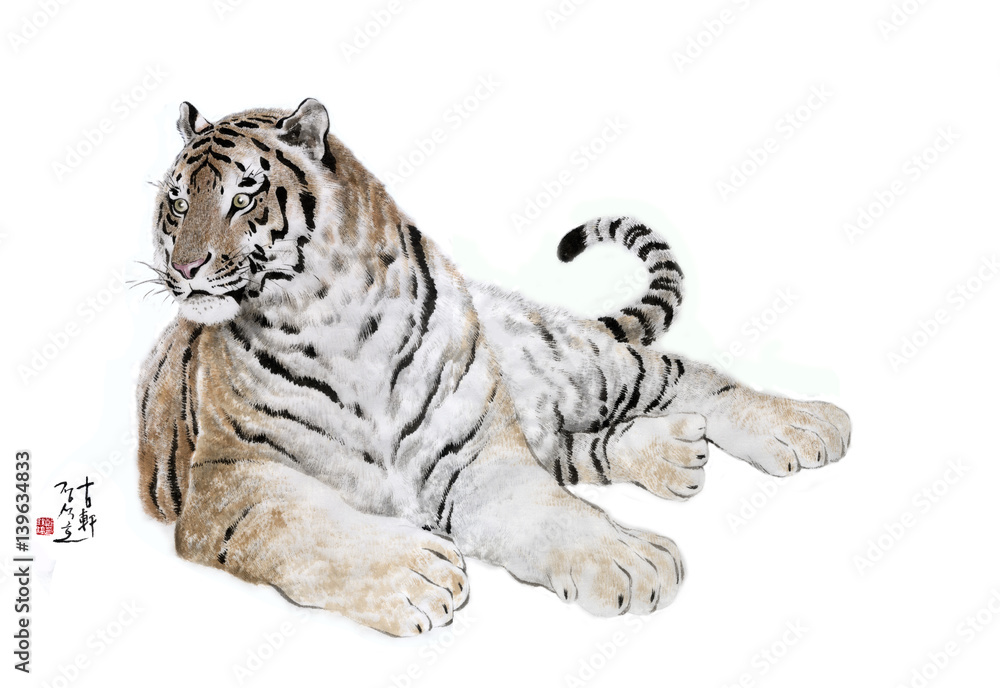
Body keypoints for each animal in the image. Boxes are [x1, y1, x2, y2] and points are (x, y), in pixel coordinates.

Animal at [137, 98, 851, 636]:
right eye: (177, 204)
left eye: (243, 198)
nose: (185, 267)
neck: (332, 322)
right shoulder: (229, 482)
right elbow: (302, 527)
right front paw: (418, 579)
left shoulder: (476, 455)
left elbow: (552, 513)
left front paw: (628, 560)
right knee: (579, 449)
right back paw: (676, 454)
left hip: (582, 363)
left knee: (685, 376)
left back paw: (809, 426)